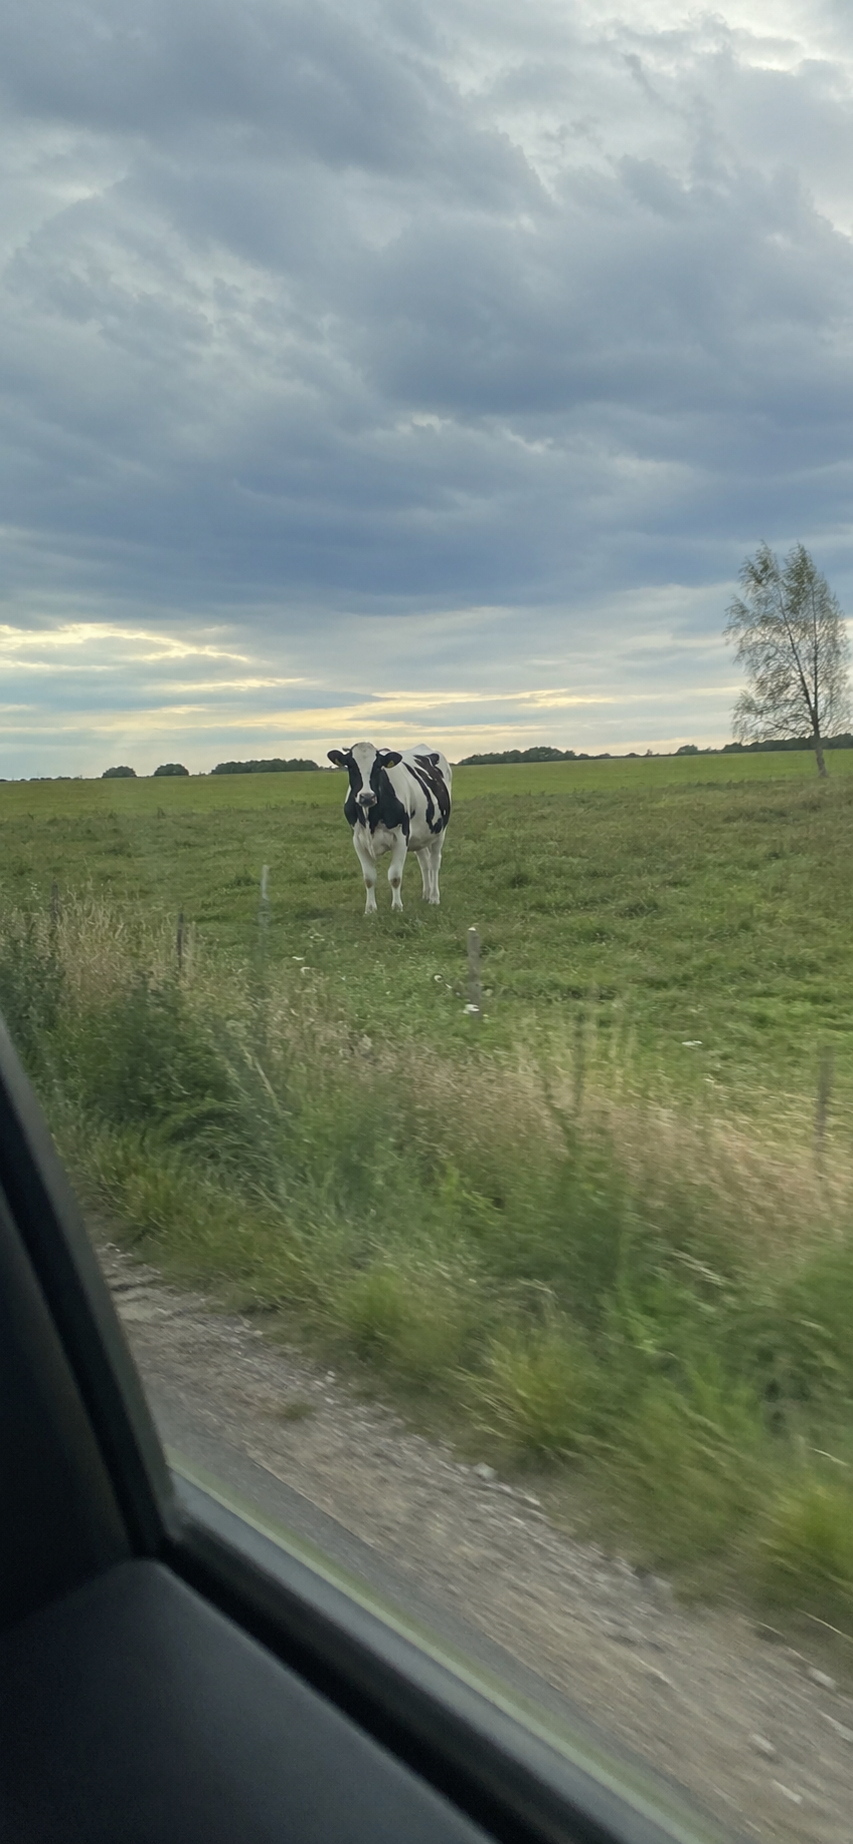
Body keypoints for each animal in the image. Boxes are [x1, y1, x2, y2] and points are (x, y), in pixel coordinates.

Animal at [327, 742, 452, 914]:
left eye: (378, 767)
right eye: (350, 766)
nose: (367, 797)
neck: (370, 819)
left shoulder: (401, 837)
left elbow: (395, 876)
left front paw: (397, 907)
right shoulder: (358, 840)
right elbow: (368, 877)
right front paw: (370, 909)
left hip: (439, 832)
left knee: (434, 862)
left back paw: (434, 897)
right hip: (420, 836)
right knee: (424, 863)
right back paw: (426, 895)